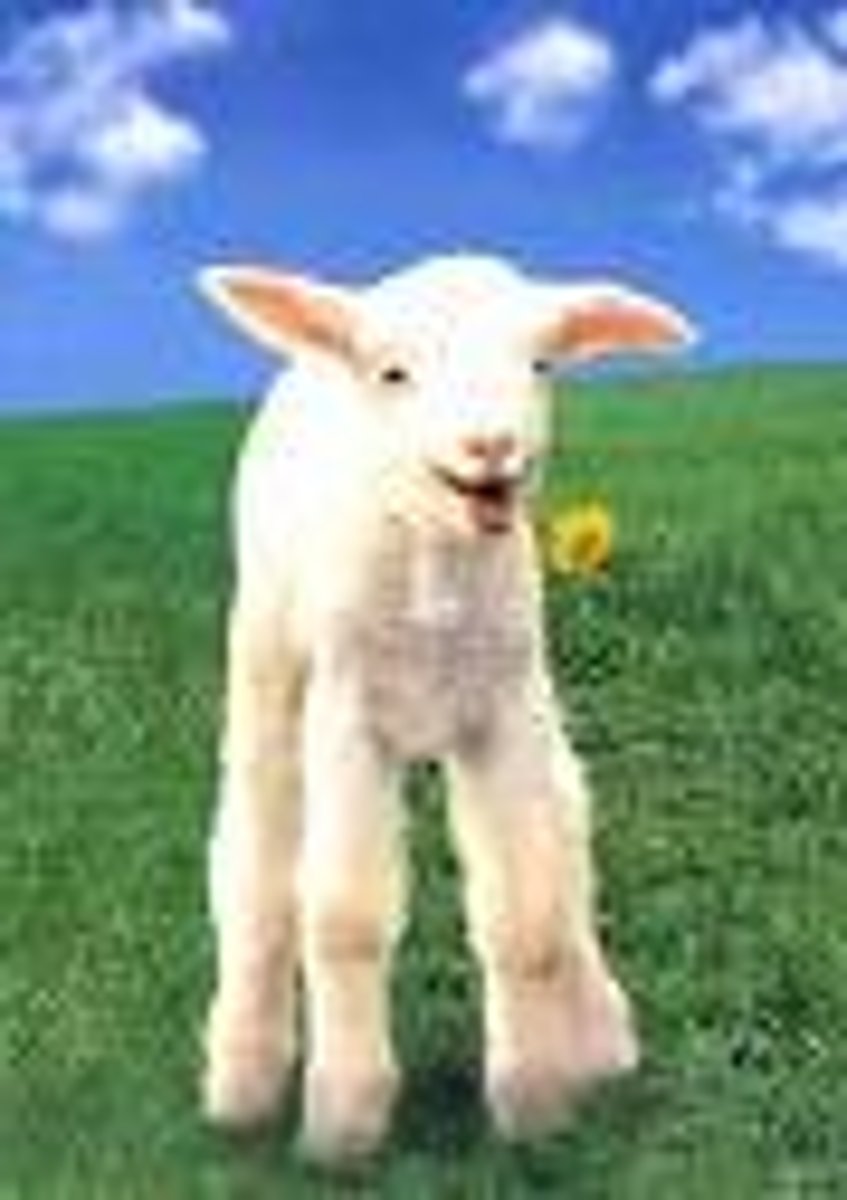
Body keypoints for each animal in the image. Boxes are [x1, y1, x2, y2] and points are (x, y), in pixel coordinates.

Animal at [197, 252, 694, 1162]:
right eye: (393, 373)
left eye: (541, 365)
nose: (490, 445)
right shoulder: (347, 714)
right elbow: (344, 915)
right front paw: (343, 1127)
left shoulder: (501, 711)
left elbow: (525, 909)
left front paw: (535, 1105)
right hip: (268, 662)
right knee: (256, 853)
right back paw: (241, 1083)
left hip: (535, 696)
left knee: (568, 823)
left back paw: (601, 1034)